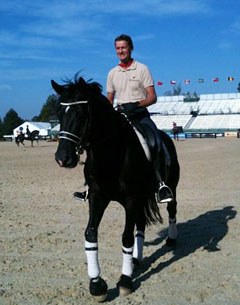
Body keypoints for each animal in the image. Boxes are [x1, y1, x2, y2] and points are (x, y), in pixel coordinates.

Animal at [52, 75, 180, 300]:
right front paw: (97, 285)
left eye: (81, 114)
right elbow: (90, 234)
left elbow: (126, 238)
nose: (62, 158)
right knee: (140, 223)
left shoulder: (130, 200)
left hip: (170, 187)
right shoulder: (97, 198)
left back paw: (171, 240)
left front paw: (125, 280)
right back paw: (136, 260)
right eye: (59, 113)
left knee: (171, 209)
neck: (110, 155)